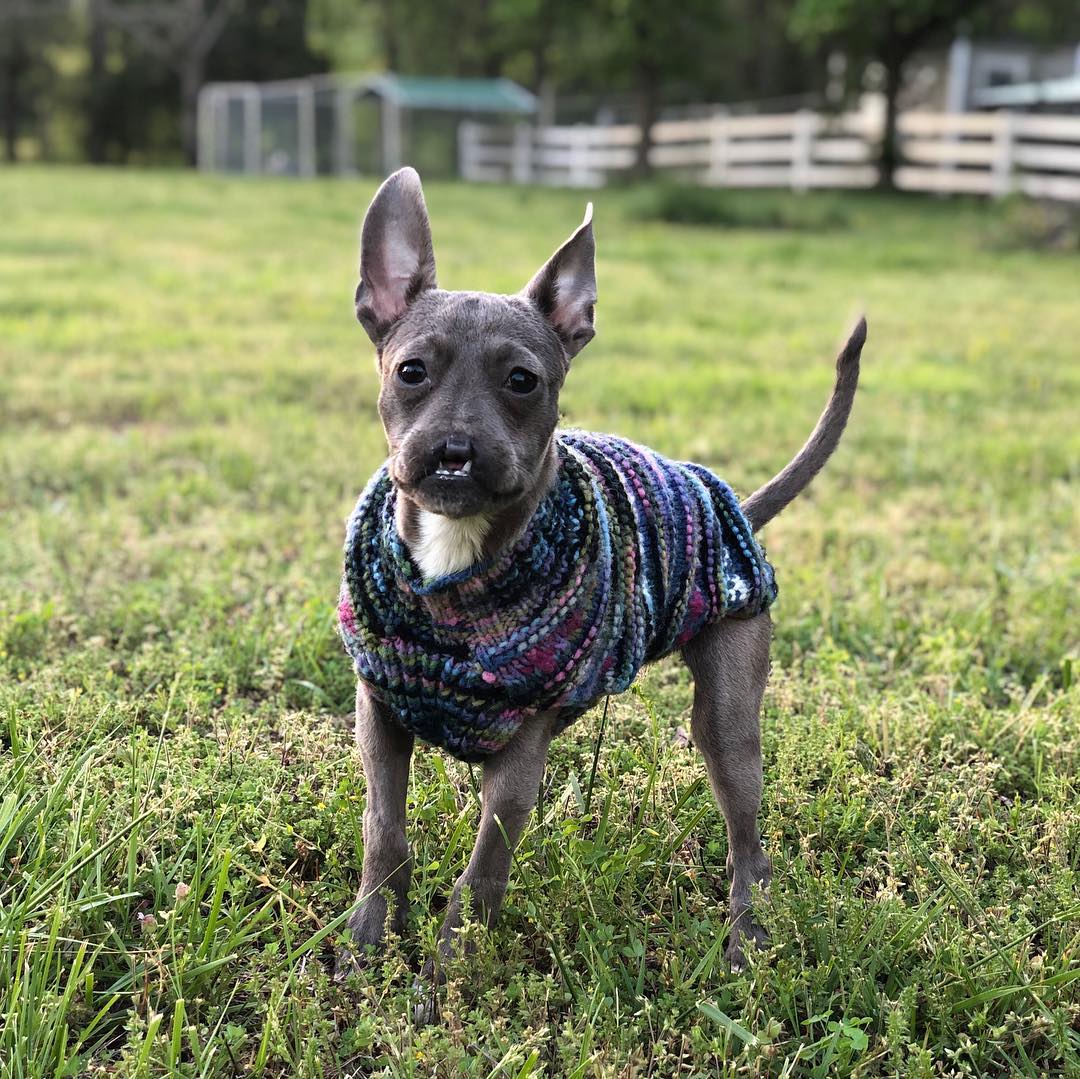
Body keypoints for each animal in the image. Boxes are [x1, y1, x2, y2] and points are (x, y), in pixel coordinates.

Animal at [332, 168, 864, 1010]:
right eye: (410, 371)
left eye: (524, 382)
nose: (455, 450)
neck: (459, 565)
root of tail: (725, 504)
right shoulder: (379, 715)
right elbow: (384, 834)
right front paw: (365, 946)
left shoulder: (517, 769)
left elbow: (481, 877)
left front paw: (444, 981)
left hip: (728, 722)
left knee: (749, 842)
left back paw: (746, 944)